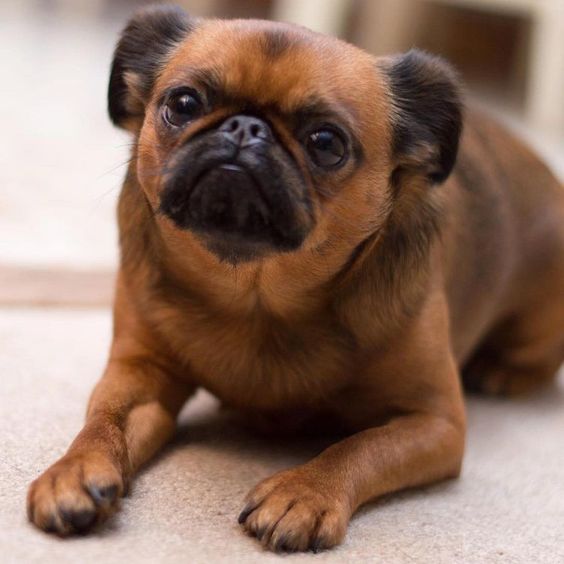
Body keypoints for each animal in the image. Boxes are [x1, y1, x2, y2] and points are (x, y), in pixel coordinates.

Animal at [26, 3, 564, 552]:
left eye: (325, 142)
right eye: (182, 103)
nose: (245, 128)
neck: (256, 293)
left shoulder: (436, 423)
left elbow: (359, 447)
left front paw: (305, 492)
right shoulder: (140, 373)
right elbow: (103, 420)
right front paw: (74, 468)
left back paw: (500, 372)